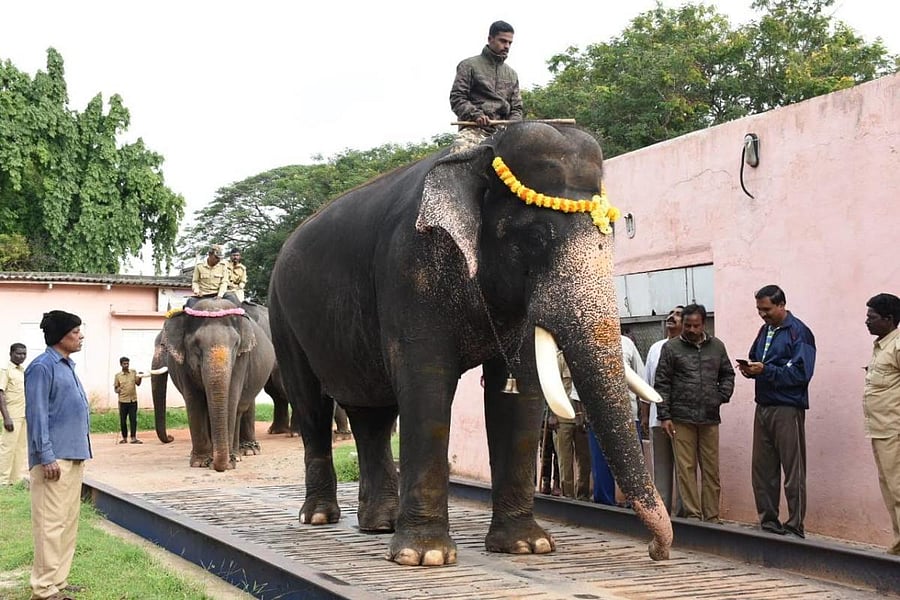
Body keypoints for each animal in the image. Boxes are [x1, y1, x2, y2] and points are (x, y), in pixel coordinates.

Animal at [151, 297, 275, 471]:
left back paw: (245, 452)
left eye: (236, 344)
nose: (170, 437)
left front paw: (228, 462)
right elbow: (194, 400)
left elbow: (231, 398)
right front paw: (201, 462)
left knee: (241, 408)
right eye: (196, 345)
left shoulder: (242, 359)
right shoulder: (183, 363)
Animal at [268, 122, 673, 566]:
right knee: (311, 402)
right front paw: (424, 557)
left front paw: (527, 547)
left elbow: (519, 390)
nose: (656, 551)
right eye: (535, 236)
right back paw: (319, 517)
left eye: (612, 235)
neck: (479, 154)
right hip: (281, 315)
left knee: (371, 411)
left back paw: (380, 524)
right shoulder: (410, 268)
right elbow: (426, 381)